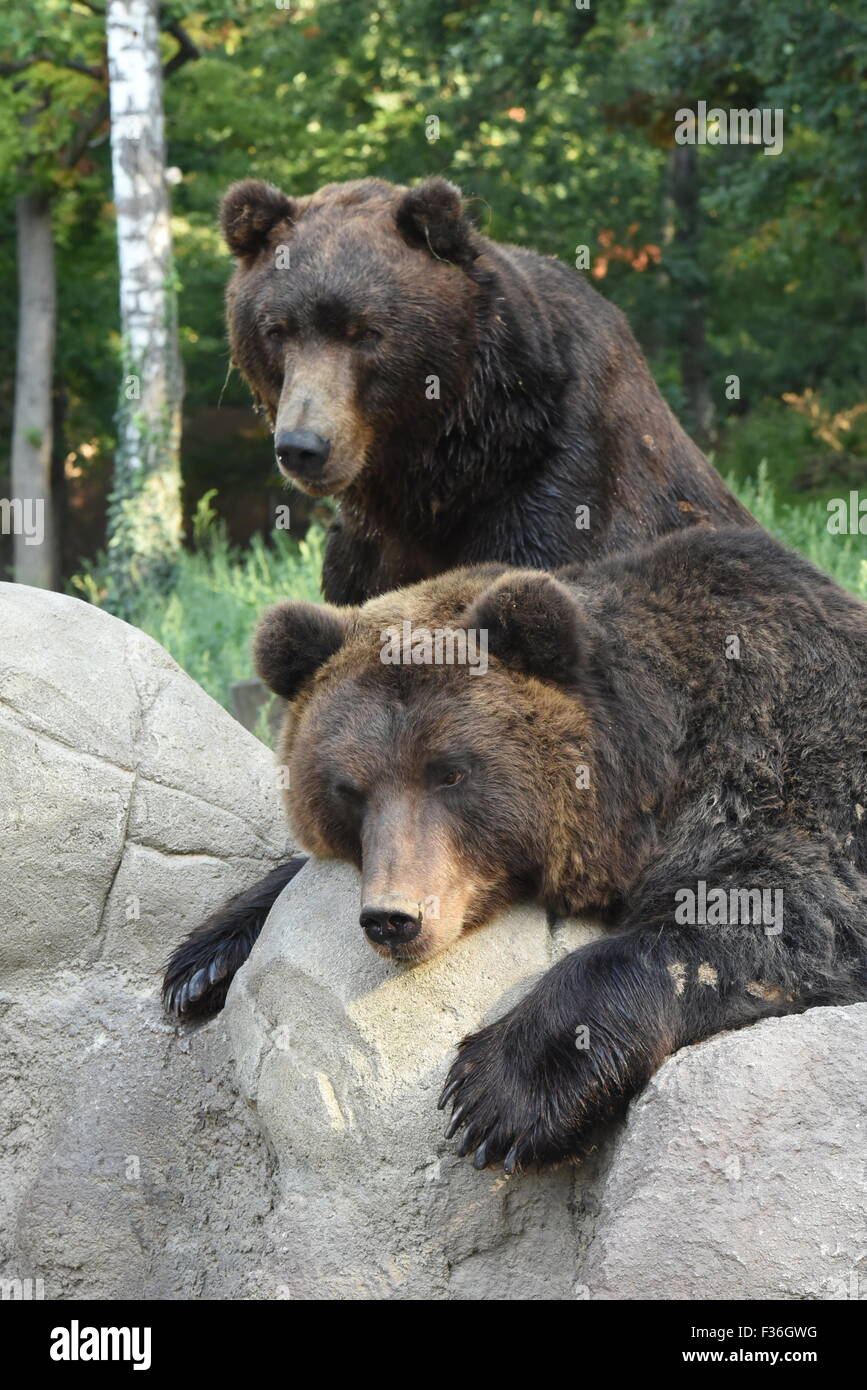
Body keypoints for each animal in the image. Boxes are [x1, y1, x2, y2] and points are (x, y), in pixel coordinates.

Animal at [164, 525, 867, 1171]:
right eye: (349, 788)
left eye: (451, 772)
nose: (393, 918)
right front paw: (201, 958)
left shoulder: (790, 759)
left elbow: (777, 908)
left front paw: (501, 1089)